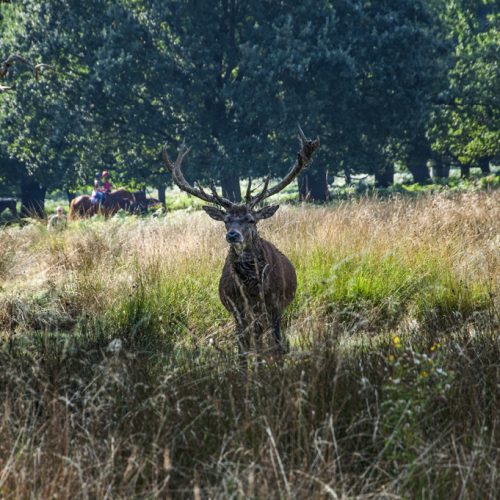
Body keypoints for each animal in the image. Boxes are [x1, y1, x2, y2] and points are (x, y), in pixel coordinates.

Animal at [163, 128, 320, 364]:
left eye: (251, 219)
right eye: (226, 220)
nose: (232, 235)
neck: (252, 288)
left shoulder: (275, 304)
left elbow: (277, 345)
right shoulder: (237, 308)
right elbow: (242, 349)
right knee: (255, 339)